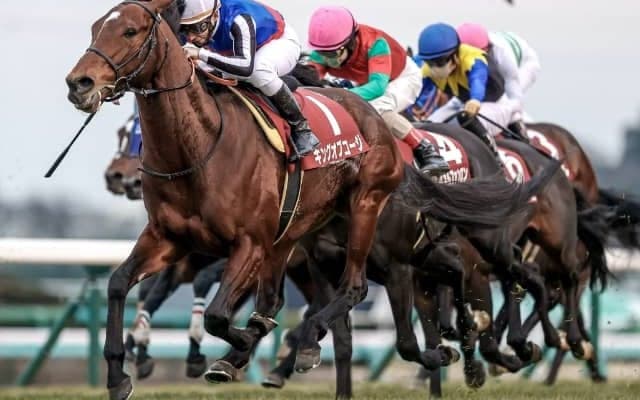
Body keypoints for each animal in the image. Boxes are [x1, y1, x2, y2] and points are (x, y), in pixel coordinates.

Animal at [65, 2, 541, 399]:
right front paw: (120, 374)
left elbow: (220, 314)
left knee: (362, 286)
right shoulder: (170, 239)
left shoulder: (250, 243)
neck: (200, 146)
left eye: (129, 31)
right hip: (299, 235)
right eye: (94, 27)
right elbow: (119, 284)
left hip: (370, 212)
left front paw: (241, 345)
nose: (79, 83)